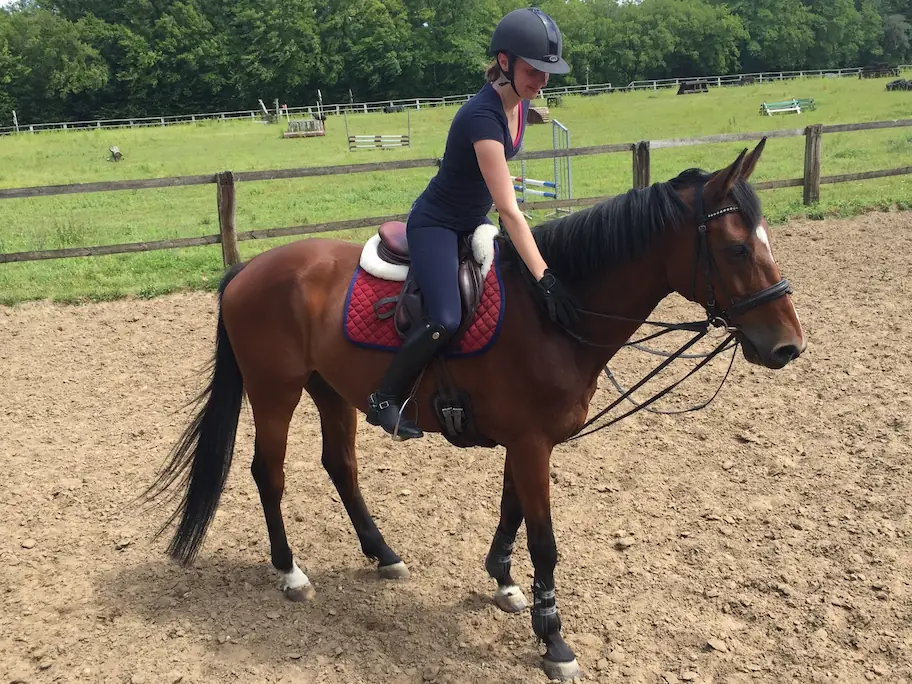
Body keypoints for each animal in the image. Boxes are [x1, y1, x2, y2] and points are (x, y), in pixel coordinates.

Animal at [144, 138, 804, 680]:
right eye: (737, 248)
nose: (787, 346)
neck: (554, 313)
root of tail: (248, 268)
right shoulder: (532, 442)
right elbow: (544, 539)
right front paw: (553, 639)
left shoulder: (528, 440)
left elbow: (512, 509)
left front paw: (506, 583)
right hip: (274, 391)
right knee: (270, 473)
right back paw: (290, 572)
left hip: (329, 390)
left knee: (341, 466)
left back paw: (383, 554)